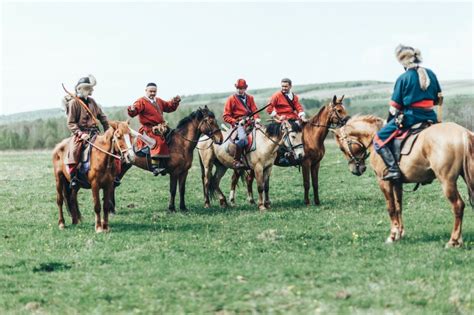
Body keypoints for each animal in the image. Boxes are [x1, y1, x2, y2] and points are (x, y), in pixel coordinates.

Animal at [334, 115, 474, 248]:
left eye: (341, 148)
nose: (355, 169)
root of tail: (463, 132)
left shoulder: (384, 182)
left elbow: (391, 208)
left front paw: (392, 236)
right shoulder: (397, 183)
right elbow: (398, 207)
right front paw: (399, 234)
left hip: (447, 182)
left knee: (458, 206)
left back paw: (453, 241)